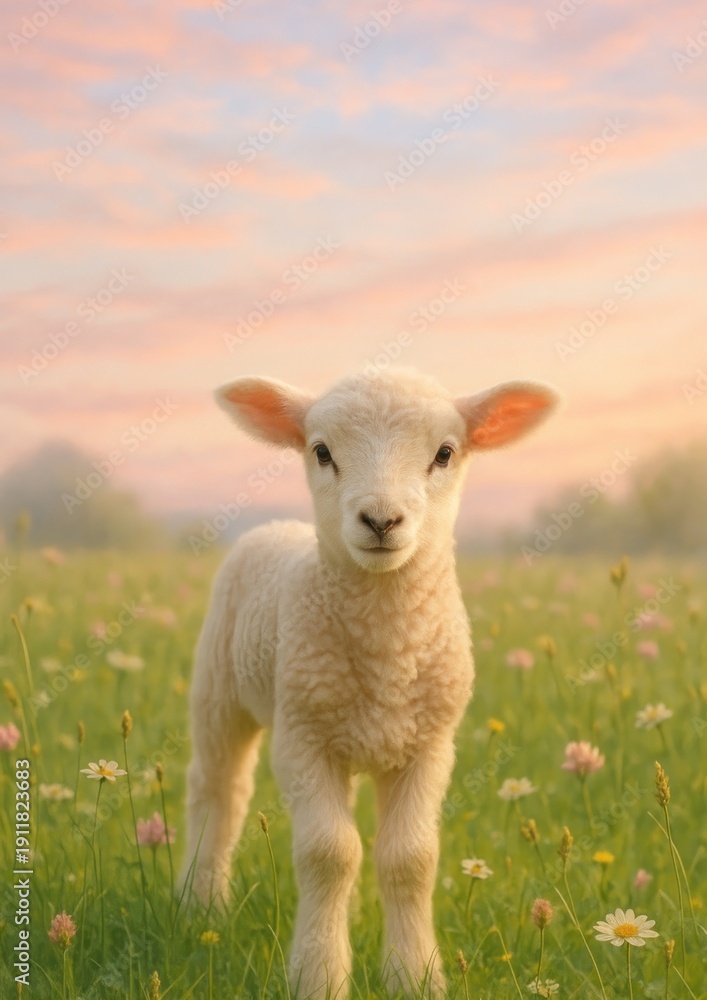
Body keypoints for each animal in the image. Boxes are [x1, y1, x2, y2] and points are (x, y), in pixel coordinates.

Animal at [180, 367, 557, 999]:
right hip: (218, 689)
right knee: (218, 792)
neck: (388, 654)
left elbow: (410, 858)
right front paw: (320, 976)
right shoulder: (302, 737)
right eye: (321, 451)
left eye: (445, 453)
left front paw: (415, 976)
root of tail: (275, 527)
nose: (381, 521)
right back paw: (201, 901)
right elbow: (329, 854)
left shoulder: (430, 745)